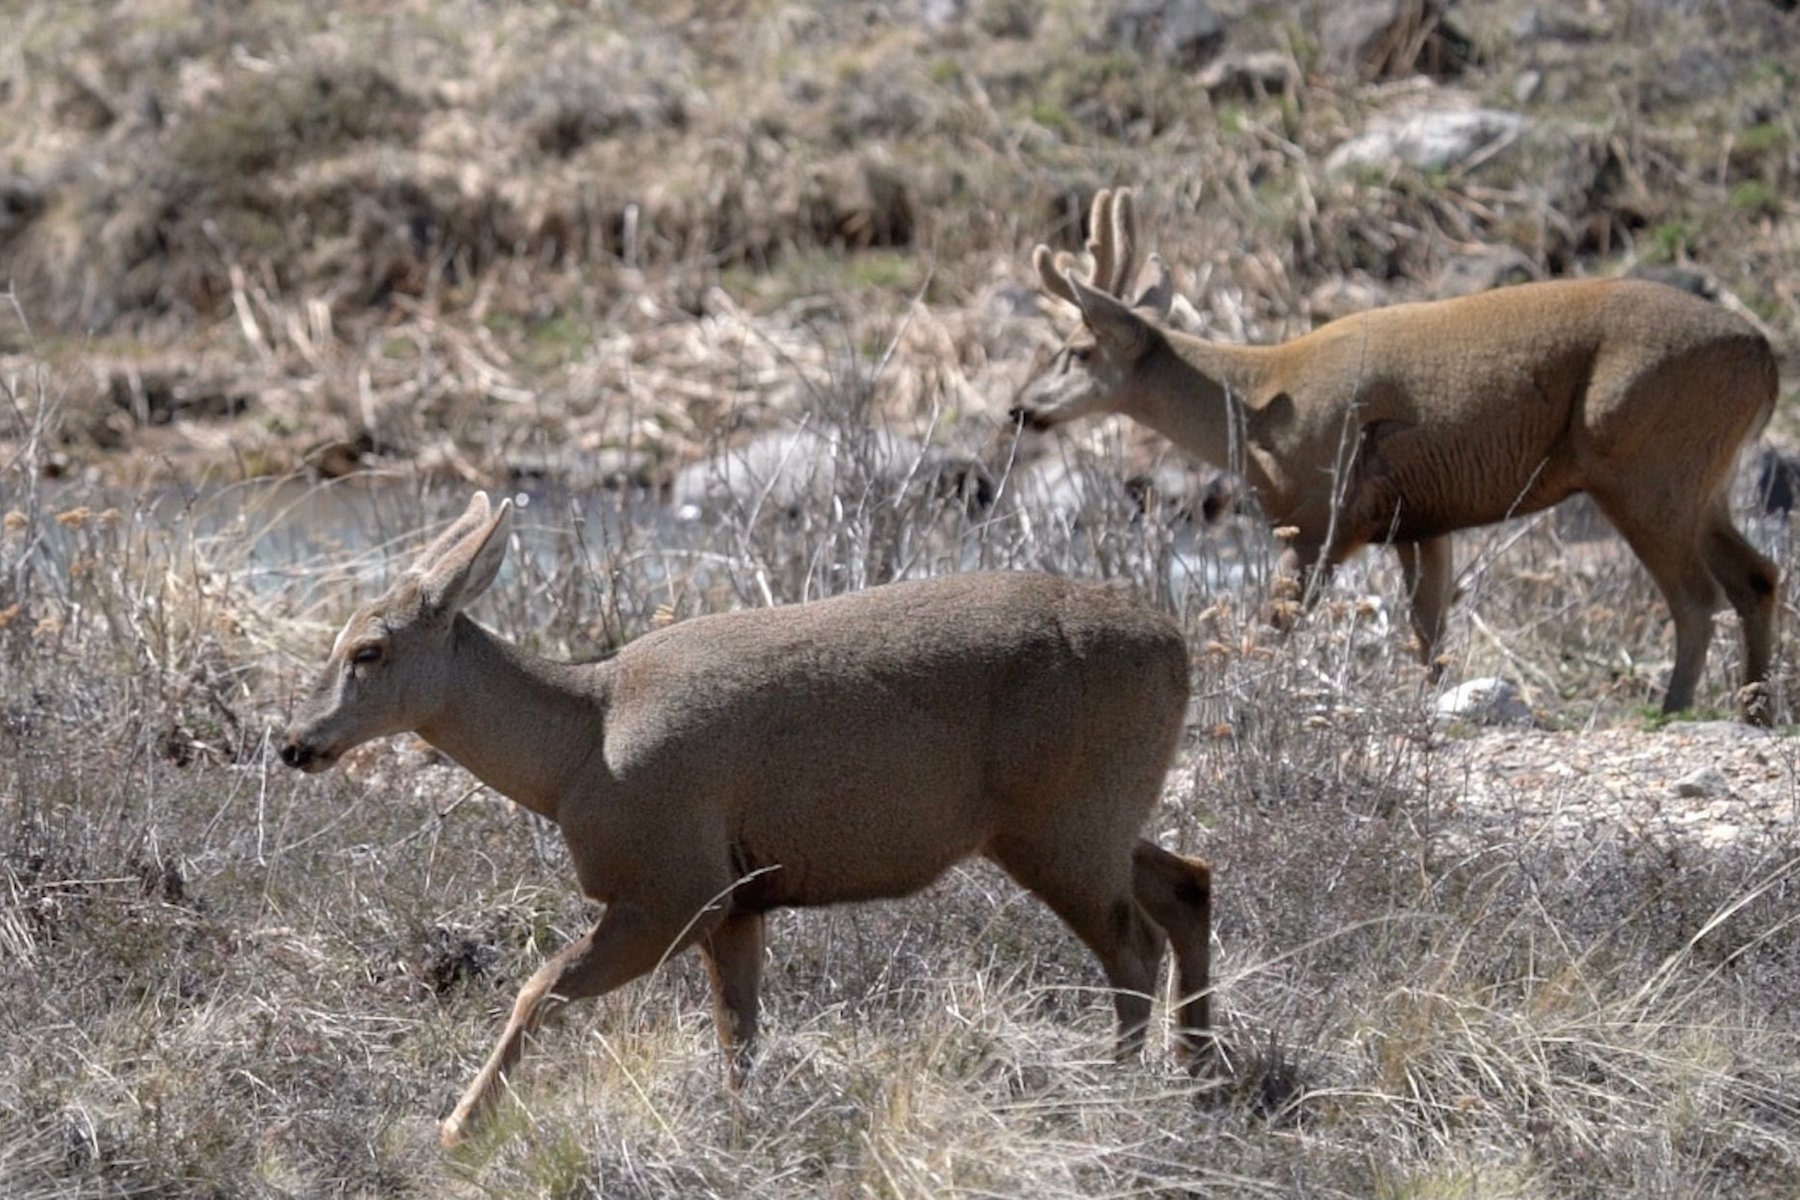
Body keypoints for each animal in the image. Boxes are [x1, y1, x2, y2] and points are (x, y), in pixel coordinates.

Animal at [278, 492, 1213, 1147]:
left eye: (368, 650)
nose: (293, 742)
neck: (577, 749)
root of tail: (1178, 646)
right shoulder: (740, 899)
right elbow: (739, 1036)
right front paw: (741, 1134)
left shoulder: (672, 884)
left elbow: (539, 986)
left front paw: (457, 1128)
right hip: (1092, 813)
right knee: (1188, 884)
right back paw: (1198, 1073)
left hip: (1058, 819)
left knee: (1133, 945)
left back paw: (1114, 1097)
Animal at [1013, 187, 1781, 723]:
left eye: (1076, 351)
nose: (1020, 408)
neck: (1256, 407)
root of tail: (1766, 359)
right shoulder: (1420, 521)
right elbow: (1428, 634)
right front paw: (1434, 708)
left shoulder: (1320, 514)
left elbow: (1276, 625)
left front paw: (1237, 701)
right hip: (1702, 477)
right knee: (1758, 577)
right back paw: (1757, 710)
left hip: (1645, 463)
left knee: (1697, 596)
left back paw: (1675, 710)